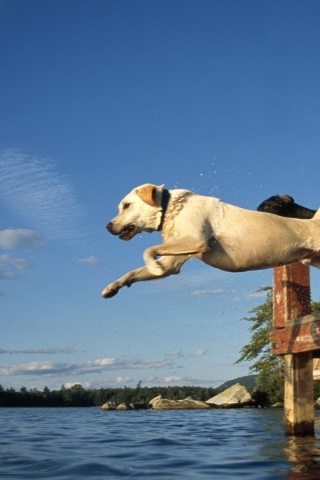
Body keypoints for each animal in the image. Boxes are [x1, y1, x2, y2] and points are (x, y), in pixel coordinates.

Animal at [102, 183, 320, 298]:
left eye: (126, 205)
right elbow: (133, 272)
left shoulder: (196, 241)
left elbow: (148, 250)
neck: (168, 207)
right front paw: (112, 287)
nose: (108, 226)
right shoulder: (172, 262)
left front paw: (154, 266)